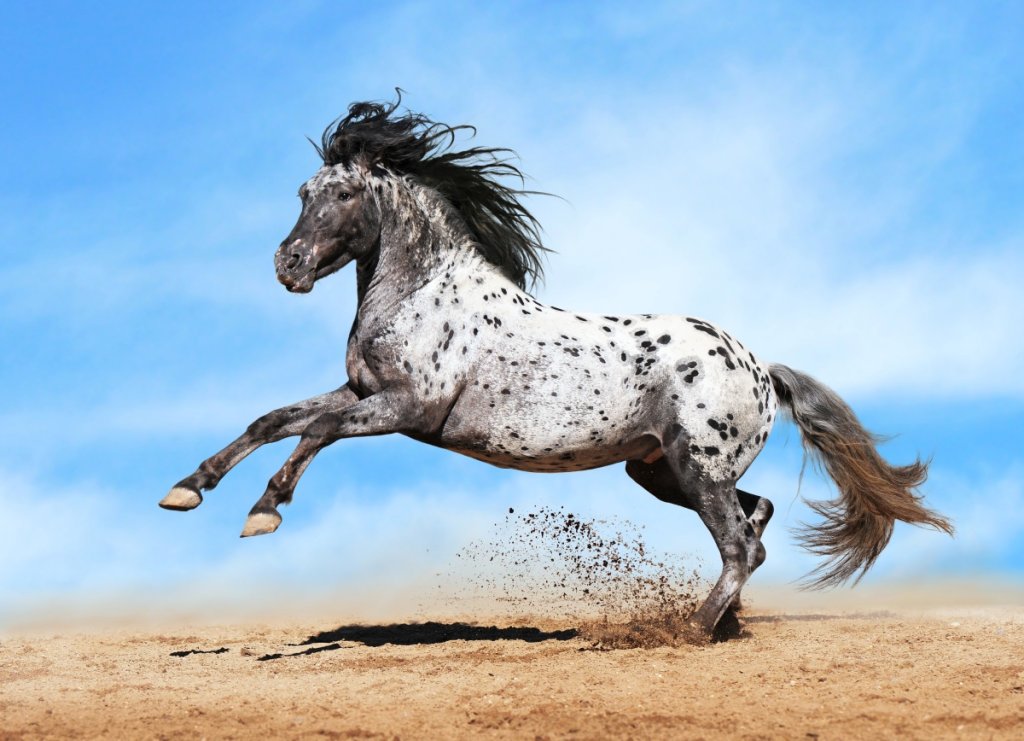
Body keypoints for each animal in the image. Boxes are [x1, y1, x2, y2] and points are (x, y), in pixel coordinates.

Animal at [160, 97, 953, 638]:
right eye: (302, 194)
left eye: (346, 194)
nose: (288, 266)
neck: (423, 292)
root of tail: (760, 367)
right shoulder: (363, 392)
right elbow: (275, 419)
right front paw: (189, 491)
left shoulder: (405, 410)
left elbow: (317, 431)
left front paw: (264, 511)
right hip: (659, 469)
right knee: (754, 523)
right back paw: (725, 622)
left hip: (695, 468)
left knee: (738, 542)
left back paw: (690, 631)